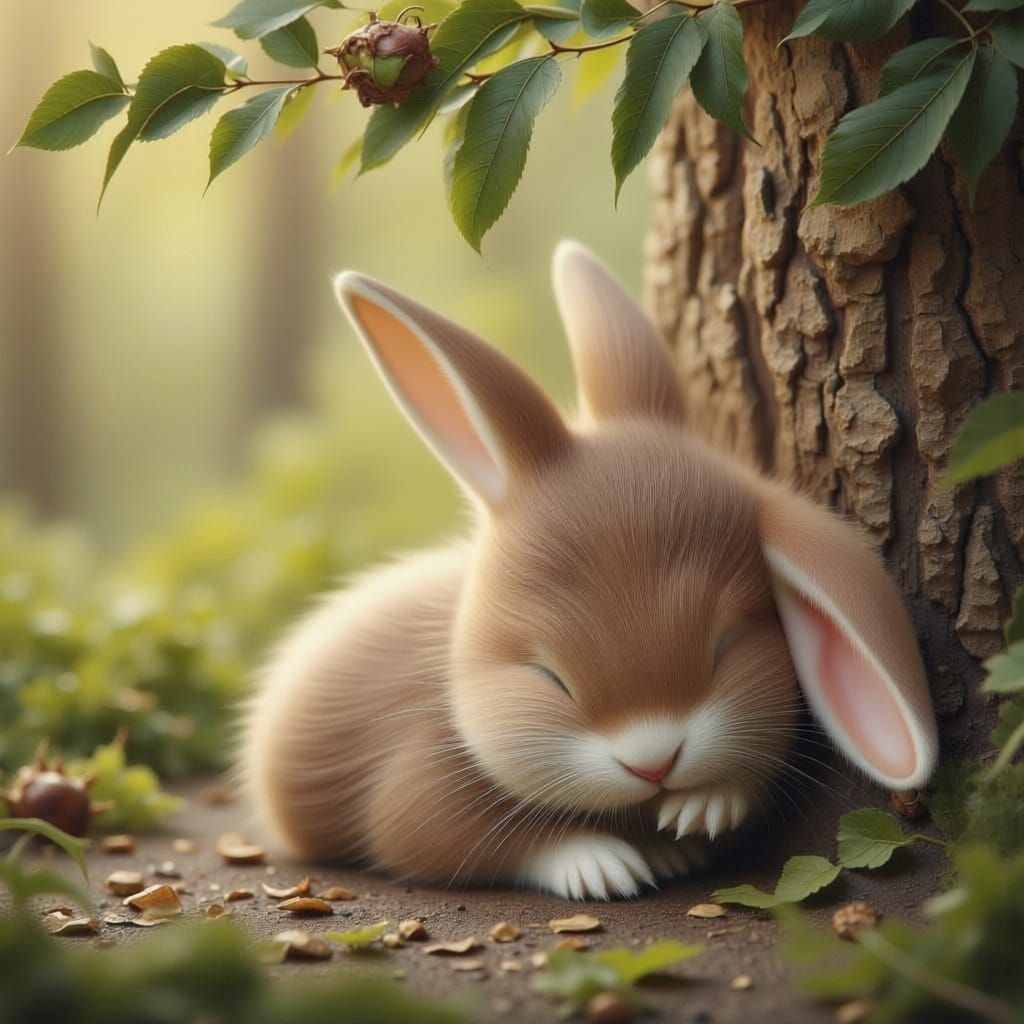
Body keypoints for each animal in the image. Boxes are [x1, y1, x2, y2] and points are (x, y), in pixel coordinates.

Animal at [241, 241, 938, 900]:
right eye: (549, 677)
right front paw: (604, 866)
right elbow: (460, 836)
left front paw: (701, 812)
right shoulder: (418, 775)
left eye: (728, 645)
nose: (654, 765)